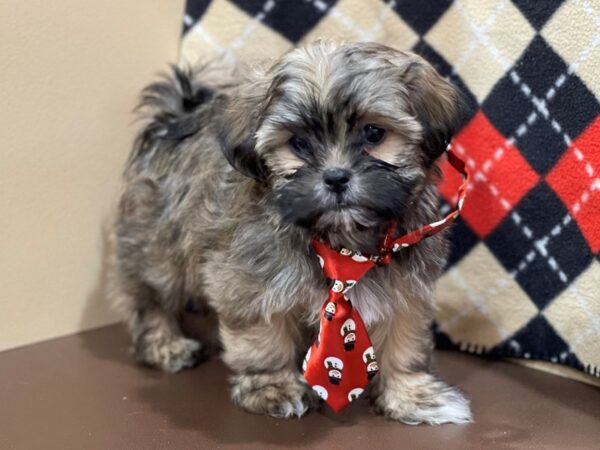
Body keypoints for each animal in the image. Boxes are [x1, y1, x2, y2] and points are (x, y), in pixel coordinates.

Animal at [108, 39, 474, 426]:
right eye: (297, 144)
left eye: (374, 133)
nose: (336, 177)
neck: (341, 244)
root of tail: (172, 122)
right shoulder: (251, 282)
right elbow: (263, 338)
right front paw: (274, 387)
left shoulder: (407, 289)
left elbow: (405, 342)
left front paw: (412, 395)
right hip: (156, 247)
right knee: (152, 299)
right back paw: (165, 345)